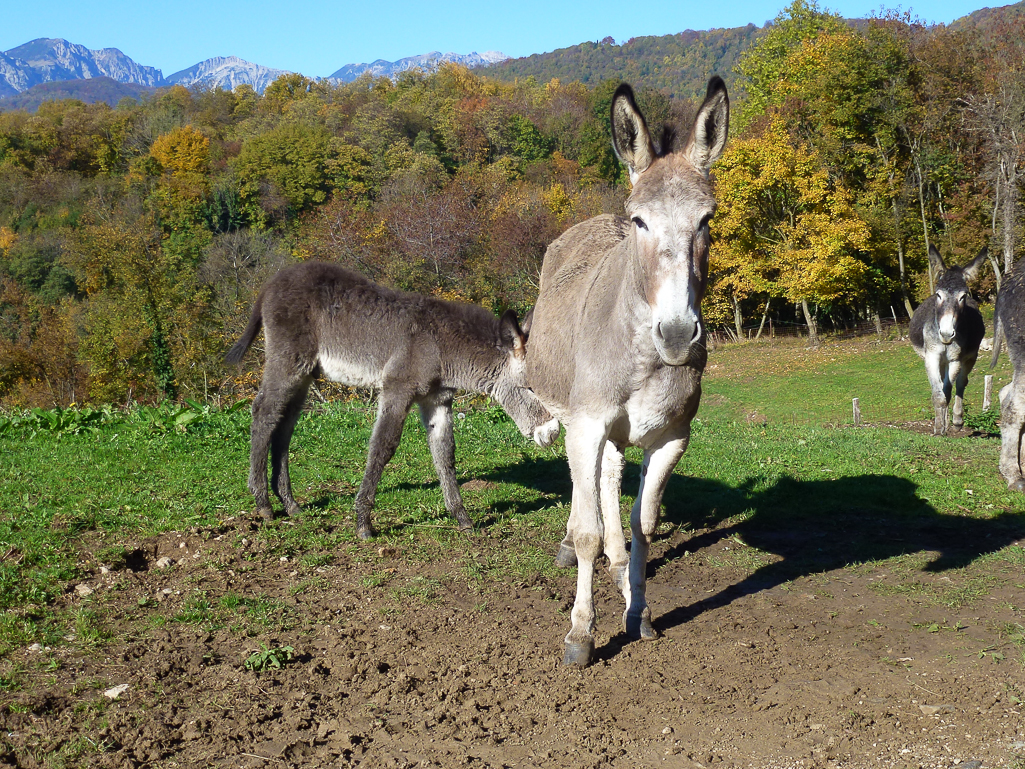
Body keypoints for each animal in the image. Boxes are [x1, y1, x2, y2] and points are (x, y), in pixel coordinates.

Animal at [224, 261, 559, 540]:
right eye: (531, 388)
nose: (553, 432)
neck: (440, 345)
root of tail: (273, 281)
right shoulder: (397, 390)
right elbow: (382, 447)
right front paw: (363, 522)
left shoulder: (437, 400)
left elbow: (445, 453)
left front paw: (461, 517)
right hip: (288, 362)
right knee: (264, 412)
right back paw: (263, 503)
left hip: (305, 374)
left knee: (284, 425)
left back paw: (290, 504)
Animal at [524, 78, 729, 666]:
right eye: (641, 221)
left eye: (706, 220)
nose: (678, 334)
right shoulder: (587, 424)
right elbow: (588, 529)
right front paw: (581, 634)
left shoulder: (671, 438)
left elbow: (644, 523)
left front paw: (638, 610)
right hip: (575, 419)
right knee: (585, 494)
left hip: (618, 433)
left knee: (611, 480)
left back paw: (619, 574)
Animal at [909, 246, 987, 436]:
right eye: (938, 295)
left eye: (963, 296)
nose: (946, 334)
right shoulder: (932, 357)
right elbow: (939, 395)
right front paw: (939, 429)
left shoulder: (955, 359)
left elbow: (949, 390)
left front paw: (944, 427)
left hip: (969, 357)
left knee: (961, 383)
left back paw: (957, 421)